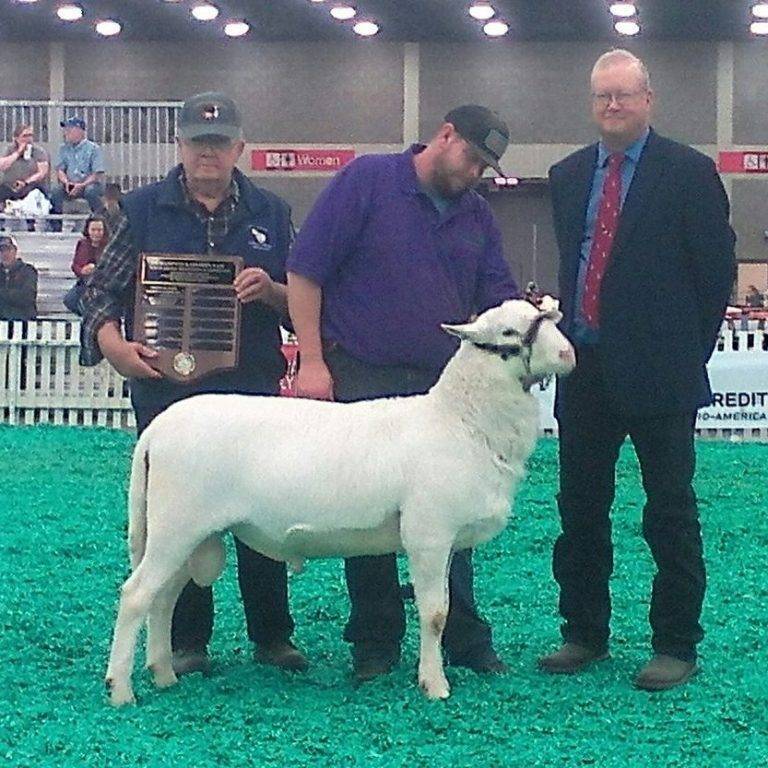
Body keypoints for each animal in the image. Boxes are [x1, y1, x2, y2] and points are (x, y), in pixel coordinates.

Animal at [105, 299, 576, 706]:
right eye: (508, 331)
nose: (568, 353)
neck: (460, 420)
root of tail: (157, 430)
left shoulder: (444, 542)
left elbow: (442, 606)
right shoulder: (428, 534)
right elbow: (436, 613)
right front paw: (434, 685)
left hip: (187, 533)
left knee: (163, 598)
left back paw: (163, 675)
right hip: (177, 526)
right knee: (136, 594)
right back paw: (120, 689)